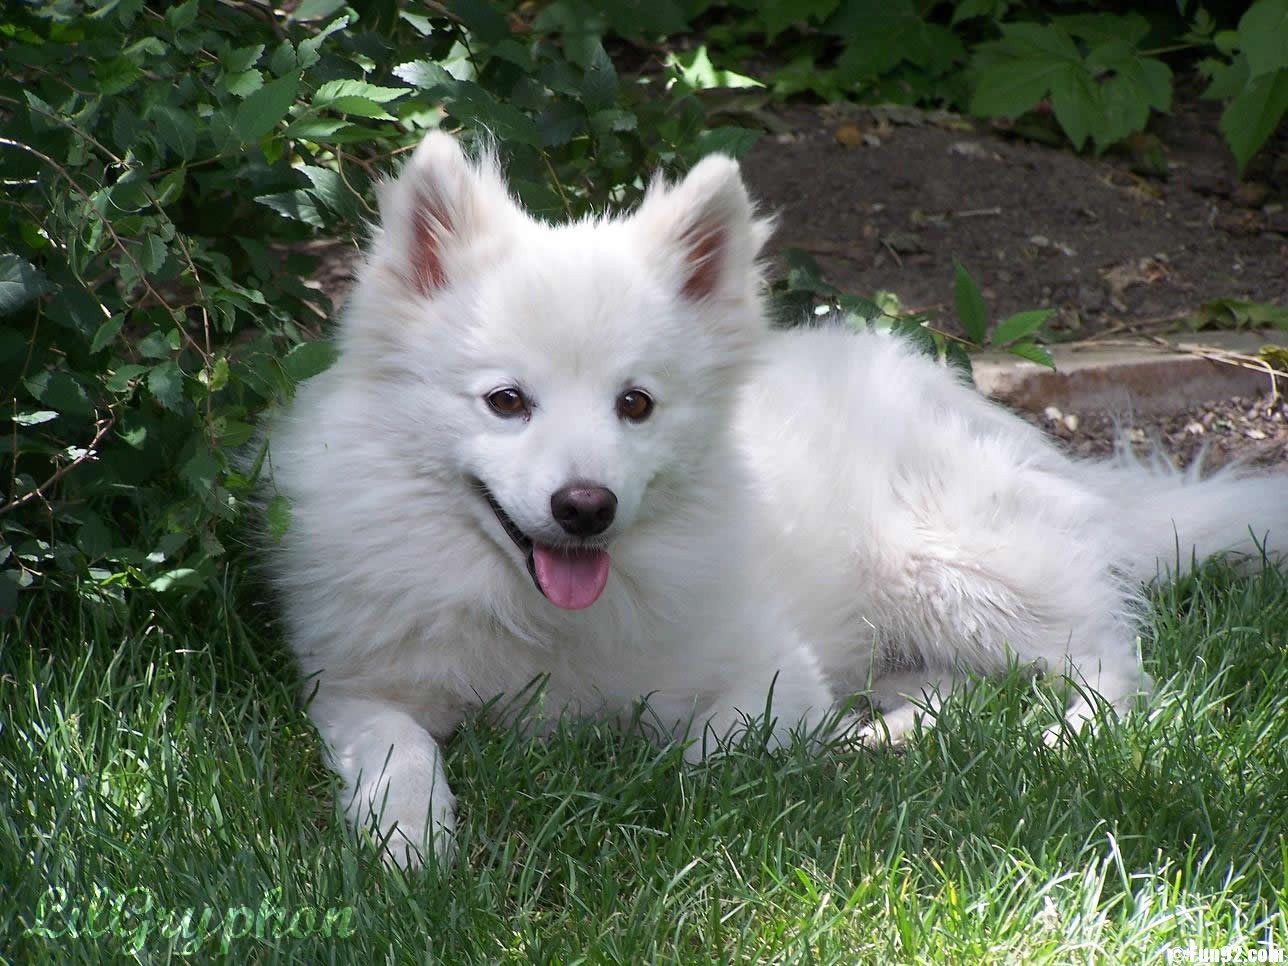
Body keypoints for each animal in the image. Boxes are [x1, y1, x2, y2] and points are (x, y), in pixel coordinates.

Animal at [264, 132, 1288, 865]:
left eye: (636, 404)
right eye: (506, 402)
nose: (586, 506)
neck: (539, 617)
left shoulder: (769, 670)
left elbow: (705, 755)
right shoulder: (355, 689)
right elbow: (399, 753)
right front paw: (411, 843)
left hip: (944, 564)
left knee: (1109, 660)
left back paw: (1042, 740)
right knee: (966, 685)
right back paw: (888, 735)